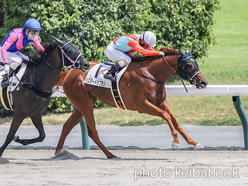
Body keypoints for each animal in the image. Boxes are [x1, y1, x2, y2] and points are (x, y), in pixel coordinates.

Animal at [55, 47, 208, 158]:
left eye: (196, 63)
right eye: (189, 65)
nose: (203, 82)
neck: (151, 74)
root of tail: (68, 73)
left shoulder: (162, 102)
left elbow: (174, 120)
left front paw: (193, 142)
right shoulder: (142, 105)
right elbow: (166, 116)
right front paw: (175, 142)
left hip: (79, 107)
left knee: (66, 127)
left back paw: (58, 152)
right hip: (85, 105)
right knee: (92, 132)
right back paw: (111, 155)